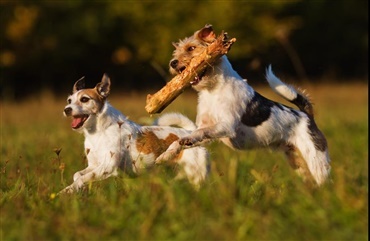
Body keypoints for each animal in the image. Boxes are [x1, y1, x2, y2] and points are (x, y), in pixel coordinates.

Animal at [57, 74, 208, 194]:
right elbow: (77, 175)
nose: (66, 109)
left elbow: (83, 178)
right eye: (69, 101)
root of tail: (190, 132)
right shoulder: (94, 165)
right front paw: (75, 187)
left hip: (196, 176)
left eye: (84, 99)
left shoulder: (108, 166)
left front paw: (68, 190)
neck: (98, 132)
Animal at [158, 24, 330, 186]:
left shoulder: (226, 126)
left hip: (316, 159)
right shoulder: (207, 131)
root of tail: (307, 116)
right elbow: (181, 140)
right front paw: (165, 155)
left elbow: (198, 133)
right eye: (176, 52)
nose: (173, 63)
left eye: (191, 48)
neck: (212, 90)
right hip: (297, 161)